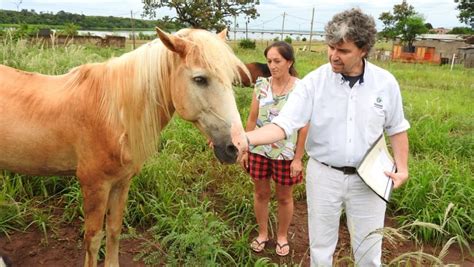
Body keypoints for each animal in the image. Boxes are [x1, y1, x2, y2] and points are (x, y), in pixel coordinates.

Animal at [0, 27, 248, 267]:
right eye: (200, 79)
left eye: (231, 78)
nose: (237, 147)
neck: (113, 114)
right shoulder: (95, 186)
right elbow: (93, 239)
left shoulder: (121, 182)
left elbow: (114, 230)